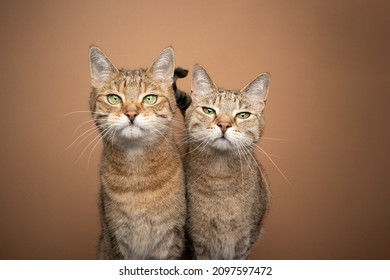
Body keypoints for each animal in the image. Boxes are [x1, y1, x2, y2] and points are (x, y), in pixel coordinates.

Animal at [185, 64, 272, 260]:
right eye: (209, 110)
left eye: (243, 115)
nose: (224, 125)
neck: (221, 176)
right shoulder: (197, 240)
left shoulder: (246, 238)